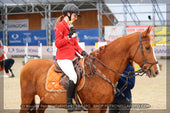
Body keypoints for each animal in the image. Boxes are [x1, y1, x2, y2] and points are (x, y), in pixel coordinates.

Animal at [19, 26, 159, 112]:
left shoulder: (103, 107)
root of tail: (27, 64)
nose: (156, 70)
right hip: (26, 98)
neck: (101, 71)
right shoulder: (94, 108)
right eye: (147, 48)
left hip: (43, 101)